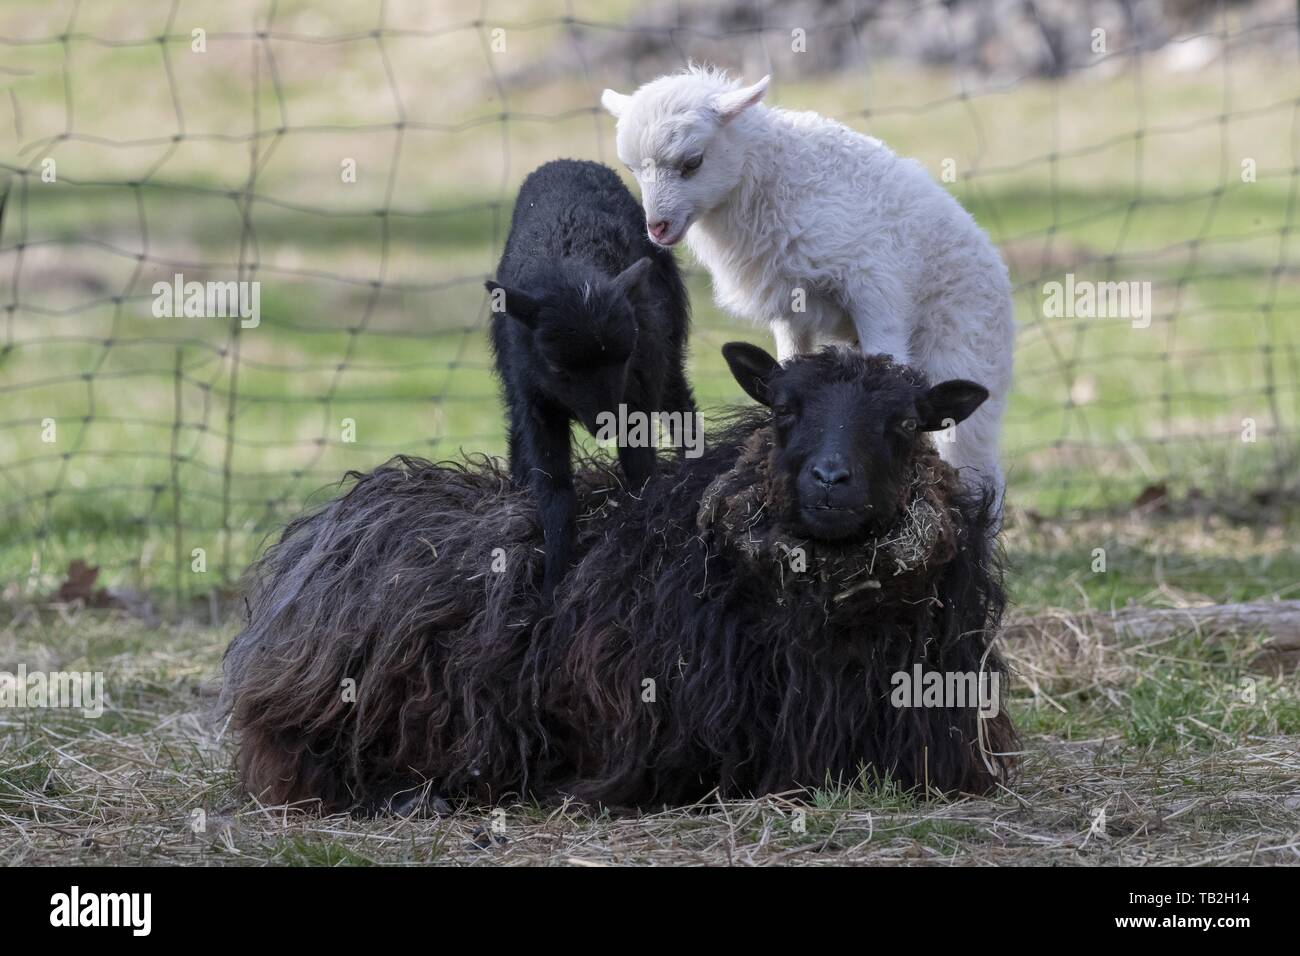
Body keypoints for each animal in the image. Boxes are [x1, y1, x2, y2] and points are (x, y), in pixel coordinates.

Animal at [598, 66, 1013, 502]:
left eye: (692, 162)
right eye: (632, 169)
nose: (657, 228)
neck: (771, 178)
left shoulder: (875, 284)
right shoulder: (790, 308)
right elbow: (788, 363)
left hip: (968, 354)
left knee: (976, 465)